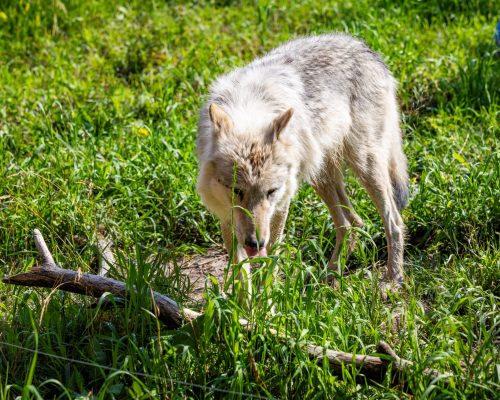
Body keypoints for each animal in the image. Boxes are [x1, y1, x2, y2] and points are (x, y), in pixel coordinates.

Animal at [196, 33, 408, 291]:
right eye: (237, 191)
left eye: (271, 192)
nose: (256, 243)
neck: (249, 112)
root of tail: (365, 48)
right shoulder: (226, 216)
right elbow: (241, 275)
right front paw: (245, 302)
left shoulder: (281, 204)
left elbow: (270, 262)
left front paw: (267, 300)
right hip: (321, 175)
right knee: (352, 223)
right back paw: (328, 281)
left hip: (365, 165)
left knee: (394, 221)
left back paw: (392, 280)